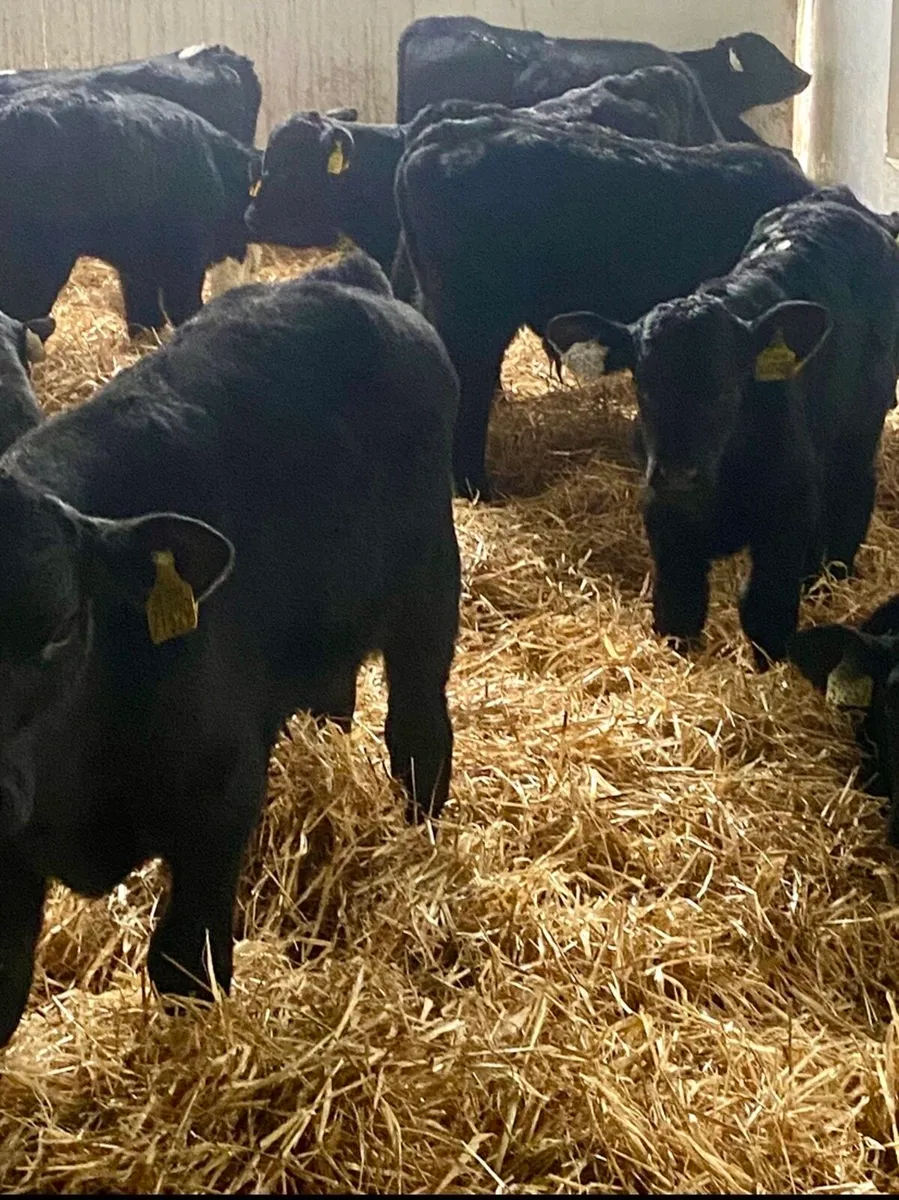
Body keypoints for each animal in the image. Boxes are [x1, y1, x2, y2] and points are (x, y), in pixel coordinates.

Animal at [0, 250, 461, 1050]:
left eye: (59, 625)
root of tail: (341, 275)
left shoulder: (217, 797)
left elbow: (187, 962)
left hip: (429, 592)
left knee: (419, 735)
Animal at [546, 195, 899, 668]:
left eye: (729, 387)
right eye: (644, 384)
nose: (679, 473)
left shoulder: (784, 515)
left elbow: (764, 608)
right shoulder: (663, 512)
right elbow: (679, 608)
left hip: (860, 426)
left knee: (852, 493)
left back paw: (834, 578)